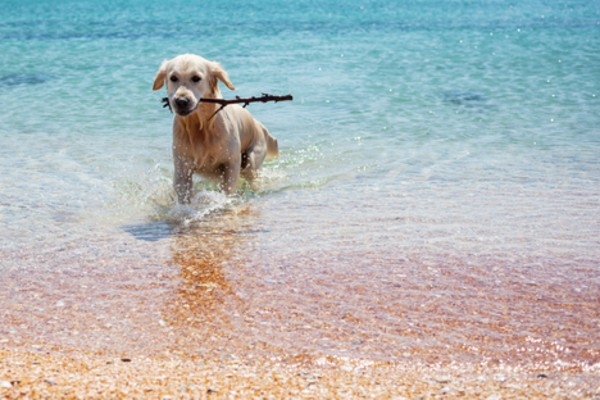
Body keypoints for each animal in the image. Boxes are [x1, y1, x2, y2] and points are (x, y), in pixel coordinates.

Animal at [152, 53, 278, 203]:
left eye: (196, 78)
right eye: (173, 78)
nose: (181, 101)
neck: (200, 127)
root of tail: (258, 124)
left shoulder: (231, 163)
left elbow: (227, 190)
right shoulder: (182, 167)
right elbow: (183, 194)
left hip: (251, 161)